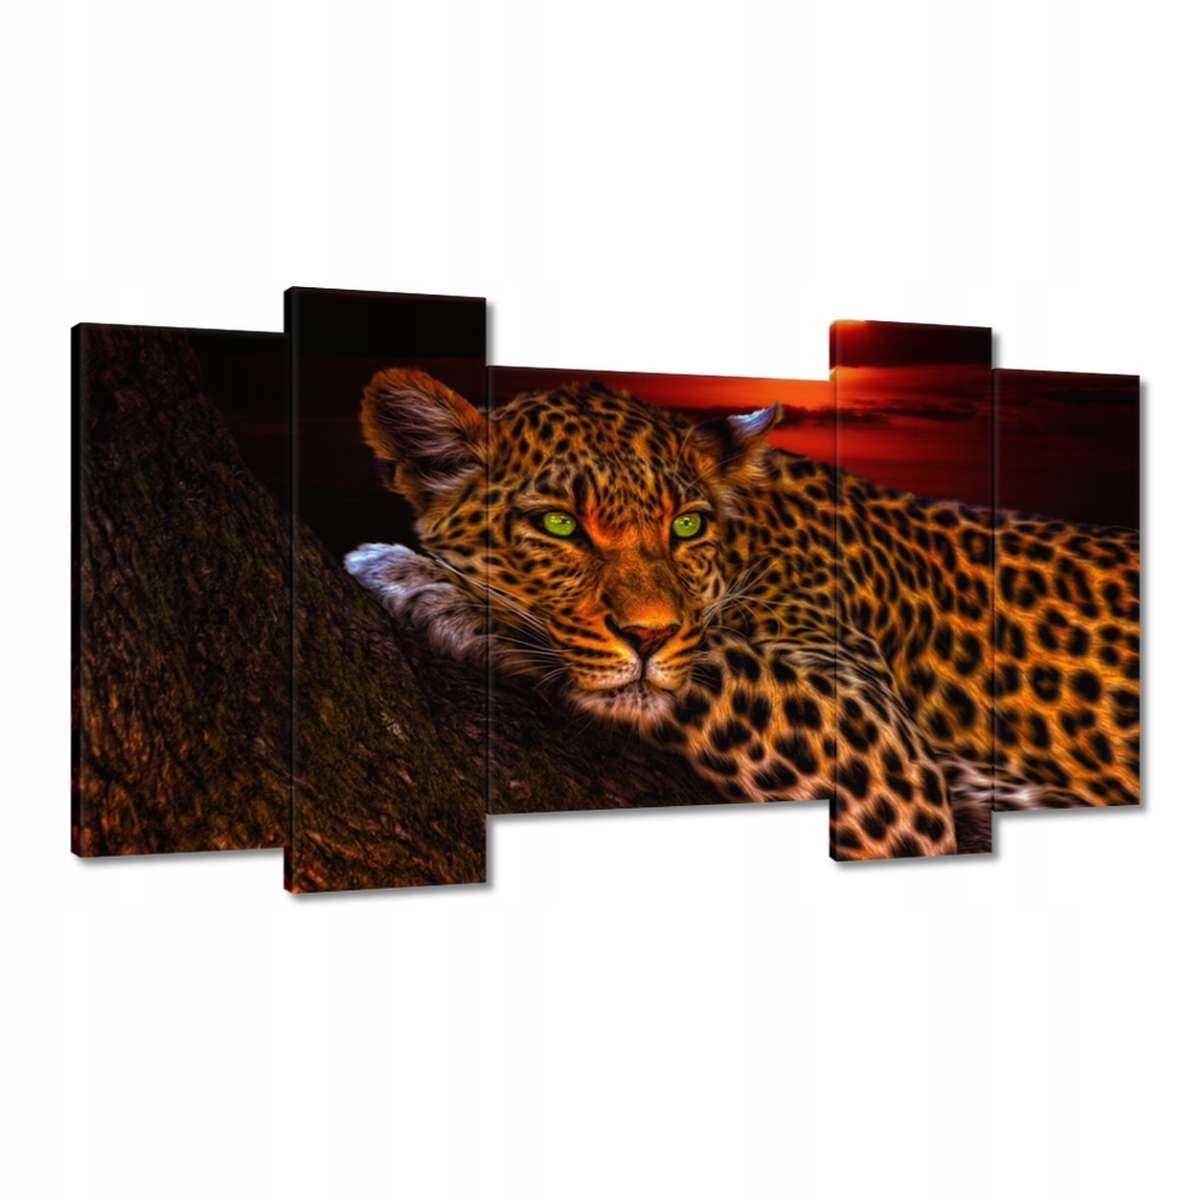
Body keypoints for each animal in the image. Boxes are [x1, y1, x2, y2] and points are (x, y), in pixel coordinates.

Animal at [345, 368, 1140, 860]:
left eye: (686, 526)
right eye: (559, 525)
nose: (648, 635)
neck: (751, 536)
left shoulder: (882, 752)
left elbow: (704, 661)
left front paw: (425, 581)